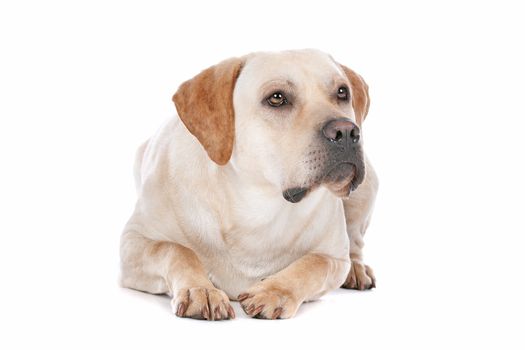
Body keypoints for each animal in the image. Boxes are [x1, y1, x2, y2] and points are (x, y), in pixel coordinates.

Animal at [119, 49, 376, 320]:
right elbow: (176, 250)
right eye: (277, 98)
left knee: (355, 242)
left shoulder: (334, 257)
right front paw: (201, 289)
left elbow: (314, 264)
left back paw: (357, 269)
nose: (346, 132)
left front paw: (274, 291)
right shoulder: (133, 242)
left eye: (342, 92)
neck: (257, 206)